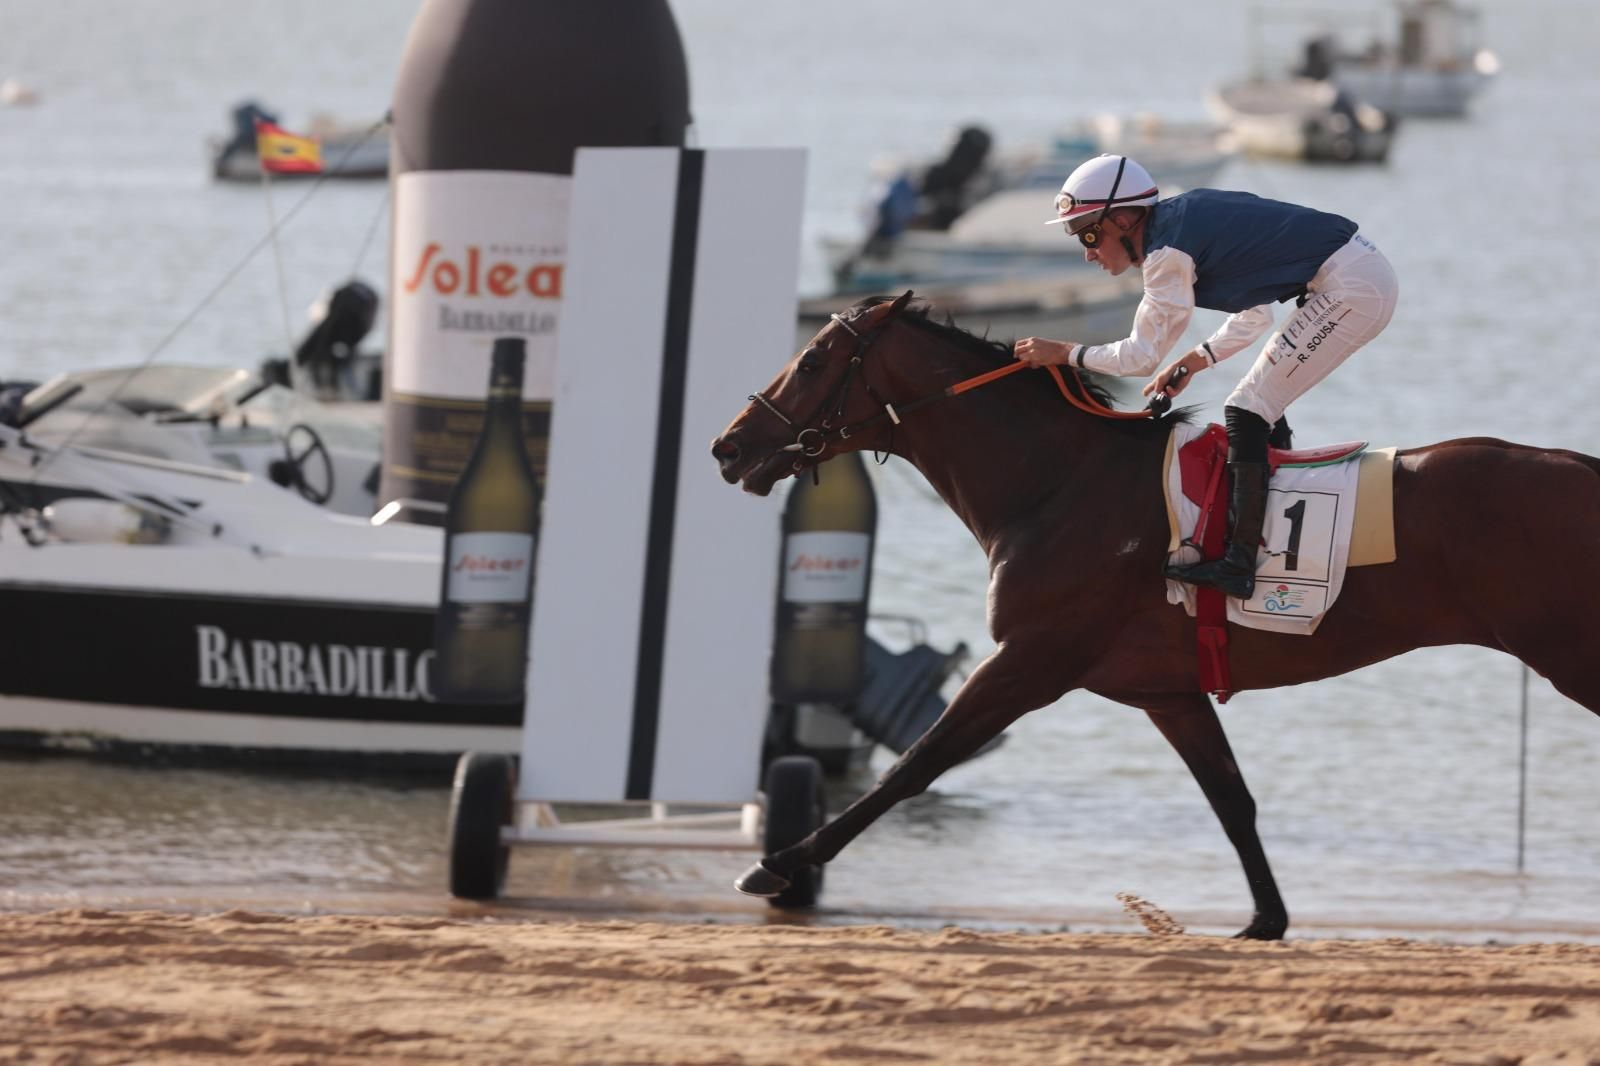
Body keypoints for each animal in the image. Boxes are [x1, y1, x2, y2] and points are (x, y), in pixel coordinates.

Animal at [710, 291, 1600, 940]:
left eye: (814, 356)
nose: (729, 445)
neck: (1059, 482)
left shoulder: (1029, 662)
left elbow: (913, 766)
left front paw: (778, 865)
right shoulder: (1166, 691)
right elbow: (1232, 800)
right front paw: (1265, 919)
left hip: (1573, 656)